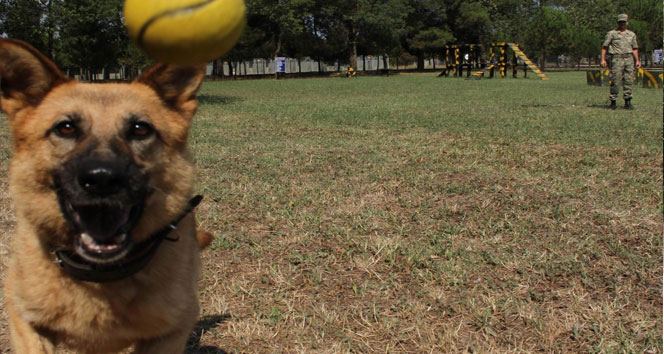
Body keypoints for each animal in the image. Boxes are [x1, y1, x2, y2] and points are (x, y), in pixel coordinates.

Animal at [0, 38, 213, 352]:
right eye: (66, 127)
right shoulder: (21, 314)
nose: (102, 179)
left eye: (140, 129)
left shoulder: (173, 329)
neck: (99, 275)